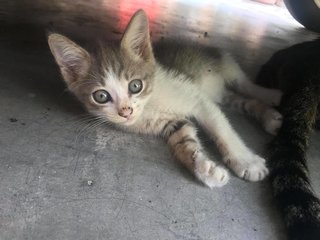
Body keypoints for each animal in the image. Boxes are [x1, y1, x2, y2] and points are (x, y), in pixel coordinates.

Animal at [47, 9, 282, 188]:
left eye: (135, 85)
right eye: (101, 96)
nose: (126, 112)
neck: (150, 105)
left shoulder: (197, 99)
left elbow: (223, 130)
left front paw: (246, 162)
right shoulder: (171, 123)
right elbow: (184, 142)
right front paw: (206, 170)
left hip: (222, 61)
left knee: (244, 83)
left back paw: (272, 94)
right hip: (222, 94)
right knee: (241, 101)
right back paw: (271, 117)